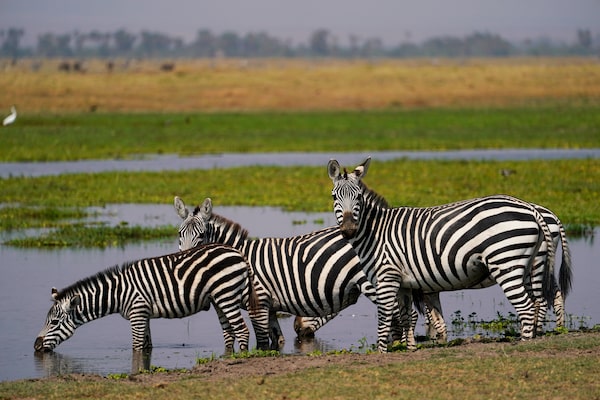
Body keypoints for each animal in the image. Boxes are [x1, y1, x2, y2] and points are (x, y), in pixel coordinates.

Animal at [172, 196, 394, 350]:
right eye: (179, 234)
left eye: (201, 235)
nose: (185, 261)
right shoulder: (269, 307)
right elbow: (277, 340)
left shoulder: (259, 303)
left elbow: (261, 342)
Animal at [318, 156, 556, 350]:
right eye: (334, 197)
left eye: (358, 197)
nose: (349, 230)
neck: (375, 232)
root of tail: (528, 207)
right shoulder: (404, 284)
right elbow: (406, 317)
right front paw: (410, 349)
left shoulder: (386, 278)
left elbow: (384, 320)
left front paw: (382, 353)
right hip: (526, 264)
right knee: (536, 304)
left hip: (506, 263)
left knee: (526, 308)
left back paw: (524, 345)